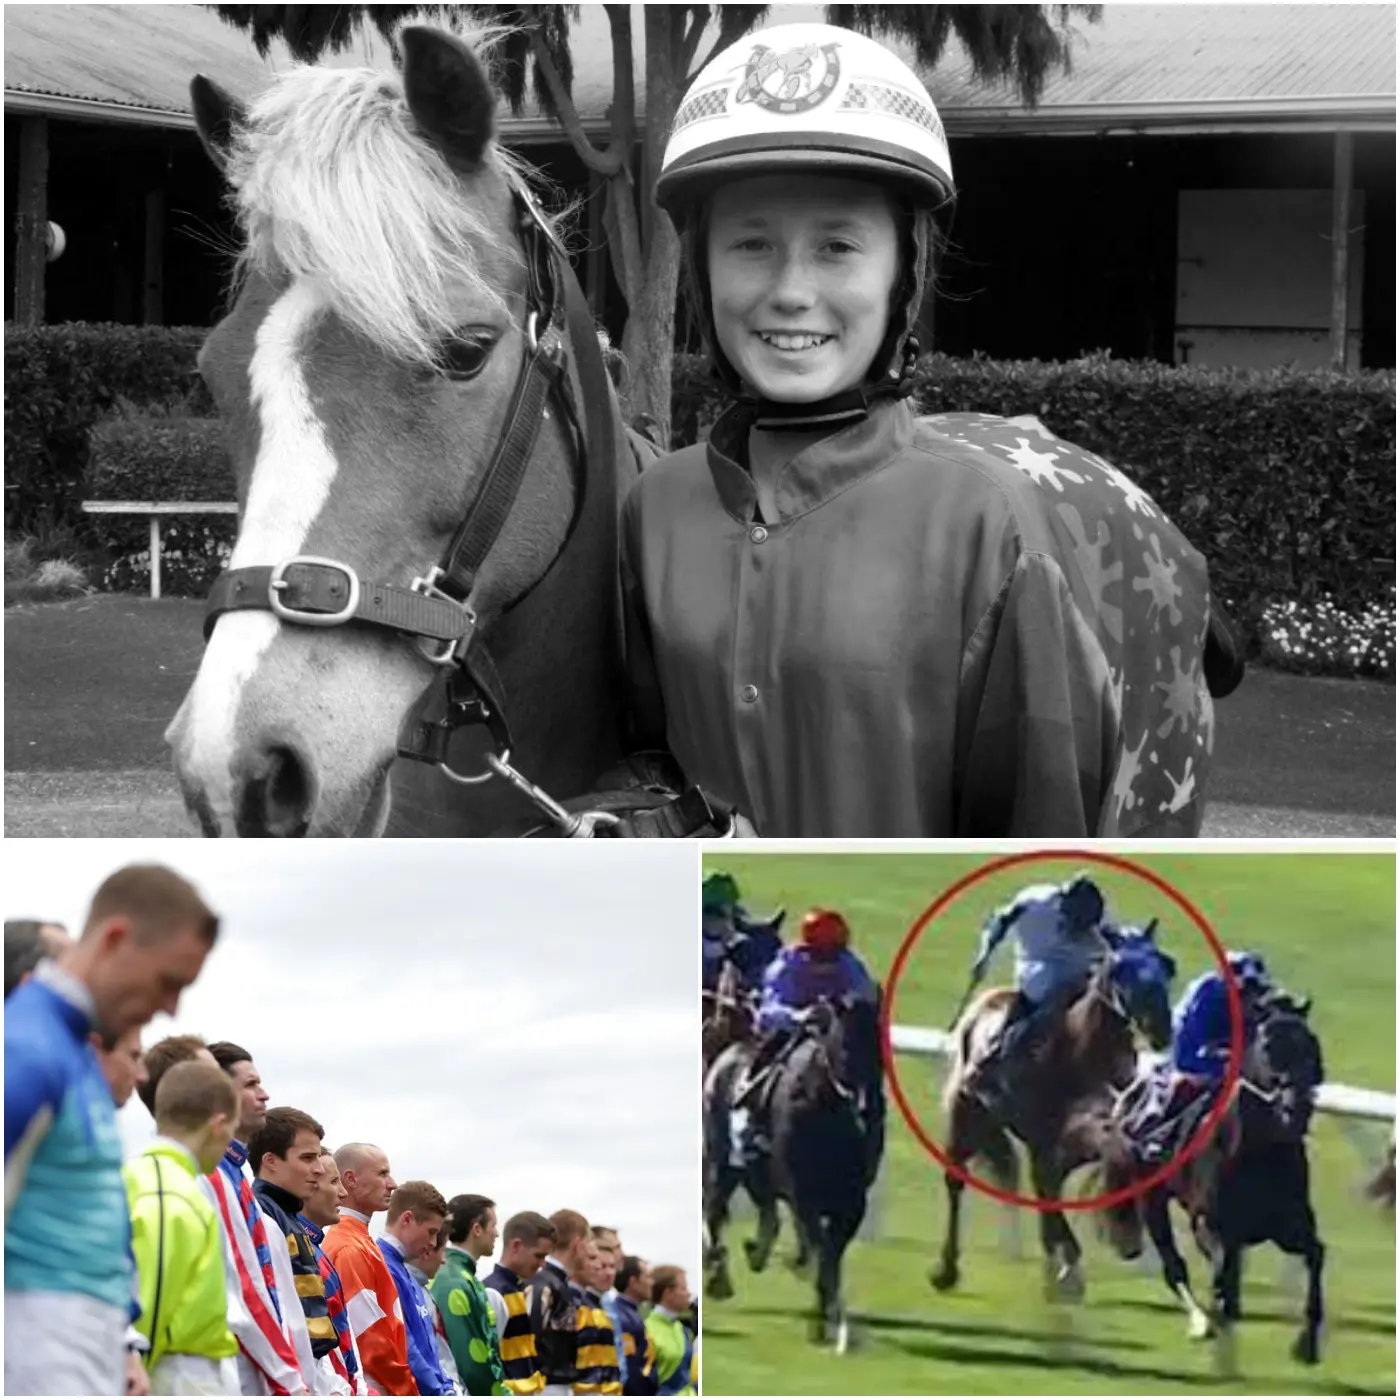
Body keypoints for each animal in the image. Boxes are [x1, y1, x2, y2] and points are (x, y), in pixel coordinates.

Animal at [931, 926, 1176, 1300]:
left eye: (1164, 967)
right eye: (1123, 970)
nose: (1162, 1028)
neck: (1083, 1054)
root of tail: (983, 1005)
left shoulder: (1078, 1136)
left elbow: (1106, 1160)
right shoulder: (1055, 1135)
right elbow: (1057, 1181)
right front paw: (1089, 1254)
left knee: (1042, 1183)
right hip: (968, 1111)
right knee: (957, 1180)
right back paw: (947, 1269)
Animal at [1096, 995, 1328, 1364]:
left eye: (1311, 1045)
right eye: (1268, 1046)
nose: (1297, 1108)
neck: (1259, 1149)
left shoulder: (1290, 1227)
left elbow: (1316, 1254)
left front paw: (1307, 1344)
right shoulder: (1210, 1224)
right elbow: (1220, 1272)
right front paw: (1218, 1320)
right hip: (1150, 1195)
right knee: (1174, 1265)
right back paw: (1200, 1322)